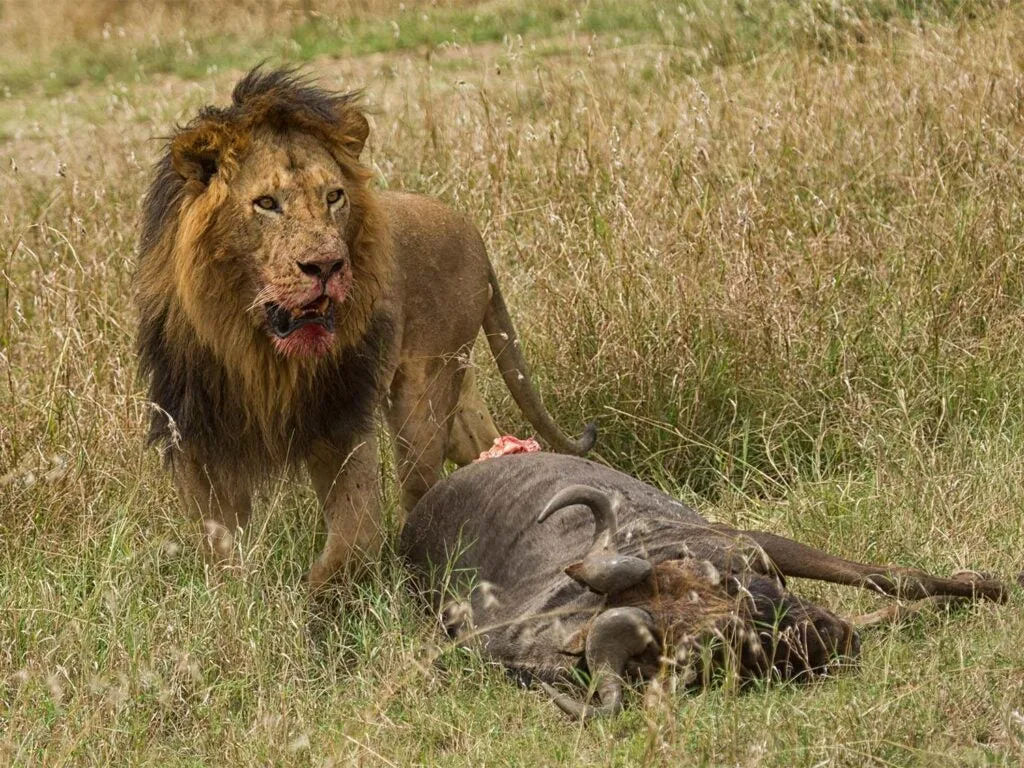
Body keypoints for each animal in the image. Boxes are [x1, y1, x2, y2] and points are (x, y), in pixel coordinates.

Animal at [140, 67, 598, 589]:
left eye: (333, 196)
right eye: (266, 203)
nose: (326, 266)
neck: (259, 351)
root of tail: (473, 233)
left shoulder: (340, 422)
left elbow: (352, 540)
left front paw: (320, 599)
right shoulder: (197, 434)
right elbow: (221, 547)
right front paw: (240, 593)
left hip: (426, 391)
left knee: (422, 486)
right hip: (459, 390)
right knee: (484, 443)